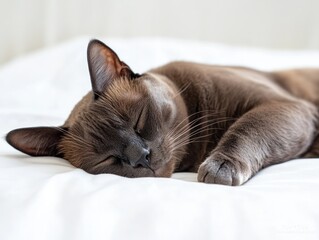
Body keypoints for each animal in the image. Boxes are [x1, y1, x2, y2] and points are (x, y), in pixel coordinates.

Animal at [5, 39, 319, 186]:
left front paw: (219, 169)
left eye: (138, 120)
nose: (140, 157)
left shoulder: (283, 106)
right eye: (107, 158)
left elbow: (245, 129)